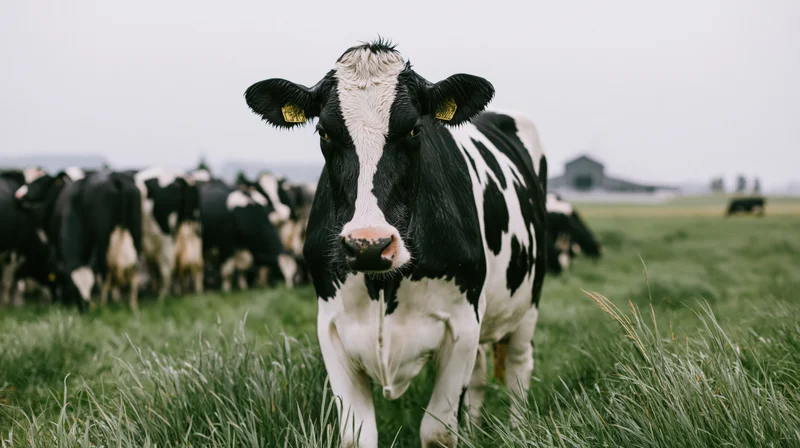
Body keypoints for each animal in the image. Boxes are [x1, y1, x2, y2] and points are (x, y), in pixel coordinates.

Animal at [16, 169, 142, 311]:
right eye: (74, 289)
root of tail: (115, 178)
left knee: (105, 271)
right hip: (136, 231)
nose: (19, 194)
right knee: (135, 272)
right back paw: (132, 306)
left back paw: (104, 305)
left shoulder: (55, 242)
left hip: (103, 237)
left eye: (39, 181)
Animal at [244, 39, 548, 448]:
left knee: (518, 368)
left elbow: (438, 432)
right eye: (324, 131)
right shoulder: (332, 327)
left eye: (415, 129)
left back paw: (517, 430)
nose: (369, 245)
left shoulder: (463, 323)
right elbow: (357, 435)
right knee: (481, 377)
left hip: (528, 301)